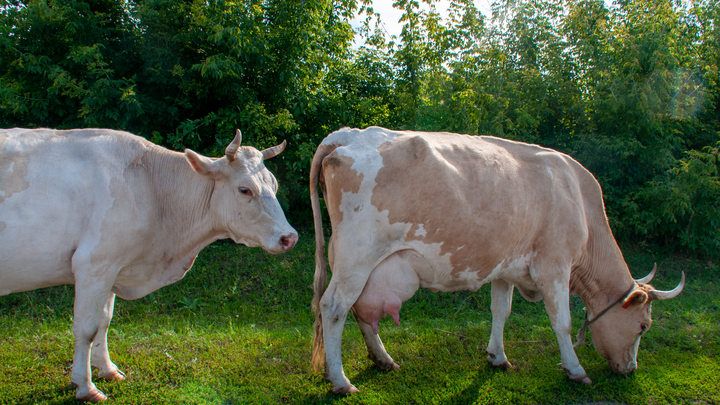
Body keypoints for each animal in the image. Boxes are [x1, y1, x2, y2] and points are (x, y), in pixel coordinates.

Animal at [0, 128, 298, 400]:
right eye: (245, 189)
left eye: (274, 185)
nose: (289, 237)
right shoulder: (93, 266)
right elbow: (86, 328)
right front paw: (85, 386)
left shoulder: (113, 266)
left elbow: (104, 321)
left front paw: (107, 369)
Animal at [306, 126, 684, 392]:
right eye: (643, 326)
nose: (630, 370)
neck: (581, 202)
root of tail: (347, 135)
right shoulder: (554, 266)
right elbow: (562, 322)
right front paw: (576, 370)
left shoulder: (506, 266)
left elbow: (501, 311)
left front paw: (498, 357)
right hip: (356, 257)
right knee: (334, 307)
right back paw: (340, 381)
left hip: (359, 264)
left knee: (360, 311)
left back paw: (383, 360)